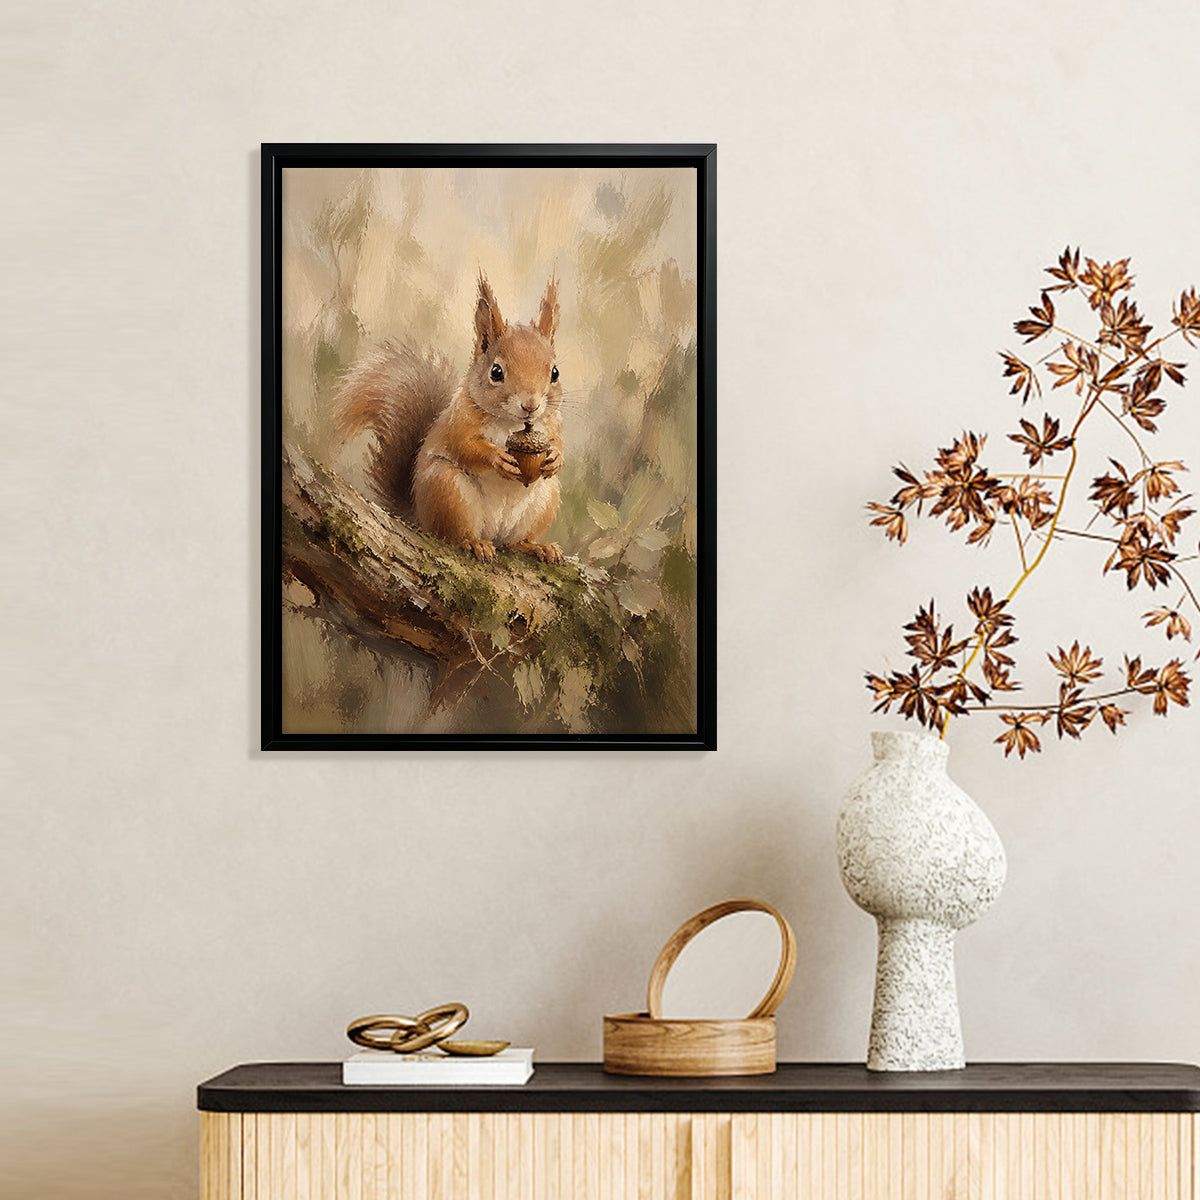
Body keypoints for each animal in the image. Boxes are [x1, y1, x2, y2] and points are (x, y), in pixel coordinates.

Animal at [334, 272, 565, 564]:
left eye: (555, 372)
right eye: (496, 372)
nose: (531, 405)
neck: (512, 424)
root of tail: (419, 516)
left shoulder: (552, 423)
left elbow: (558, 444)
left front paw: (555, 458)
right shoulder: (460, 421)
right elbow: (466, 446)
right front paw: (497, 458)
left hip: (545, 498)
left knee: (514, 543)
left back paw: (536, 547)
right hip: (449, 490)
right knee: (451, 535)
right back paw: (474, 543)